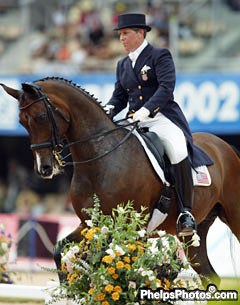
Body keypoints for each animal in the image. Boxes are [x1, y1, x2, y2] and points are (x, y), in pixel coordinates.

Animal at [0, 76, 239, 284]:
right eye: (22, 122)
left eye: (41, 117)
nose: (44, 168)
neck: (101, 156)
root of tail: (225, 146)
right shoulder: (89, 224)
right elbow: (61, 250)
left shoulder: (127, 226)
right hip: (195, 233)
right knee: (210, 276)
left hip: (232, 217)